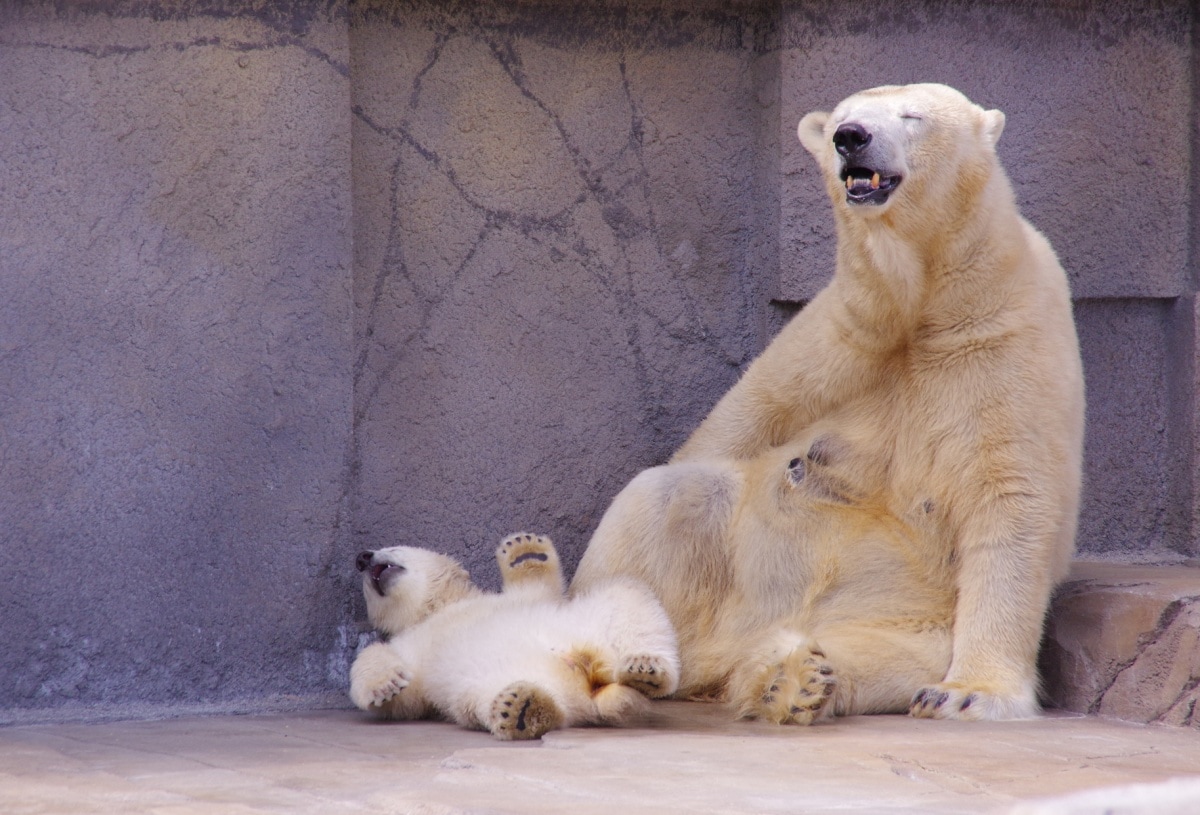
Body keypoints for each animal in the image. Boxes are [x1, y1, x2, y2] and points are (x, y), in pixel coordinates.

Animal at [571, 81, 1089, 720]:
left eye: (912, 116)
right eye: (843, 117)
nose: (851, 138)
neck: (925, 298)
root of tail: (718, 654)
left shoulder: (1007, 338)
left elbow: (1013, 495)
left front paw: (971, 693)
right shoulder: (841, 337)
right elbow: (740, 422)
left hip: (909, 619)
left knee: (876, 657)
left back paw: (785, 680)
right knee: (669, 498)